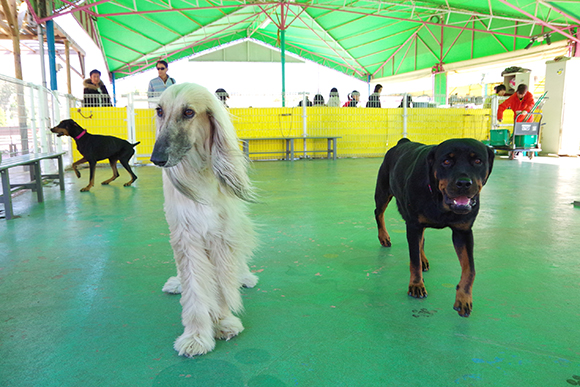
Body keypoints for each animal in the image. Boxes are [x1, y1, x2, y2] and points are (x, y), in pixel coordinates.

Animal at [376, 139, 494, 318]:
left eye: (478, 161)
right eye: (446, 161)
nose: (464, 183)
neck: (440, 199)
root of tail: (403, 141)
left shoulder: (463, 231)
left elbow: (470, 269)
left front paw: (464, 298)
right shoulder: (413, 225)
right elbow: (414, 261)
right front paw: (416, 285)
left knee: (421, 239)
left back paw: (423, 258)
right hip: (383, 192)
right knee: (379, 213)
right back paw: (384, 236)